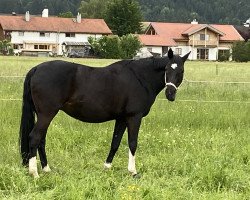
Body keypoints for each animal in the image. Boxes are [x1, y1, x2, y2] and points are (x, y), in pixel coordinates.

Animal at [19, 48, 190, 178]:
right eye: (167, 69)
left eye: (181, 71)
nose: (170, 94)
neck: (140, 77)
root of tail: (36, 69)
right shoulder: (133, 117)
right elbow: (132, 143)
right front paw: (133, 171)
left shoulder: (121, 118)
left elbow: (115, 142)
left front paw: (107, 167)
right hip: (46, 114)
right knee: (34, 137)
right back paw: (35, 173)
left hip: (43, 115)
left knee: (41, 140)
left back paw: (46, 169)